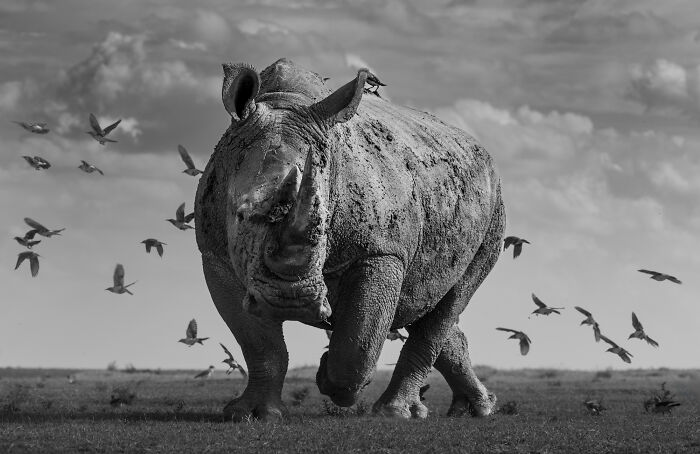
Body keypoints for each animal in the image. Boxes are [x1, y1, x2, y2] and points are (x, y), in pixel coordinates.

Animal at [195, 58, 505, 420]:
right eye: (241, 214)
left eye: (325, 223)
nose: (291, 302)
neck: (285, 101)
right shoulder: (214, 254)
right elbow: (260, 345)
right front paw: (252, 414)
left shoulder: (382, 251)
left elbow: (359, 343)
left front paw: (330, 380)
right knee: (426, 303)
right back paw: (475, 408)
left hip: (495, 209)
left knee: (450, 299)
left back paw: (399, 413)